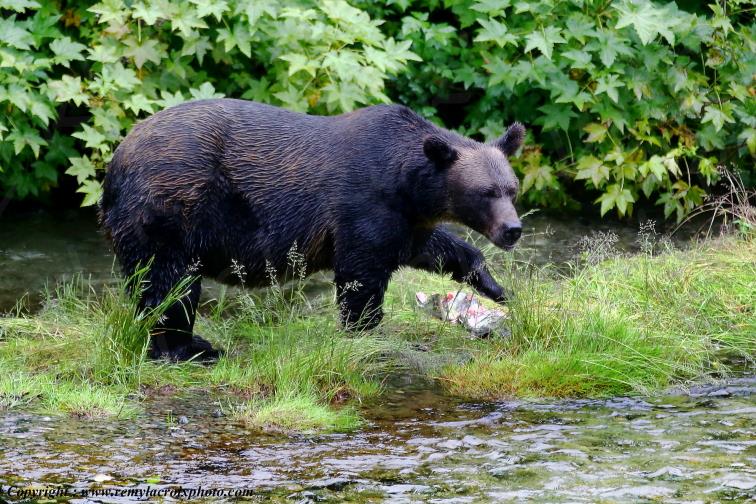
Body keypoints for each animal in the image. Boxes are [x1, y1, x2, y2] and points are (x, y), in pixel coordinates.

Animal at [100, 99, 524, 361]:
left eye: (511, 188)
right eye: (485, 192)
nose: (512, 229)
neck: (407, 181)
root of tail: (116, 160)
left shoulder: (406, 219)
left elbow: (434, 248)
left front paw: (495, 286)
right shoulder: (362, 202)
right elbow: (360, 274)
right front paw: (366, 330)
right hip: (171, 206)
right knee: (170, 282)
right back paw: (191, 349)